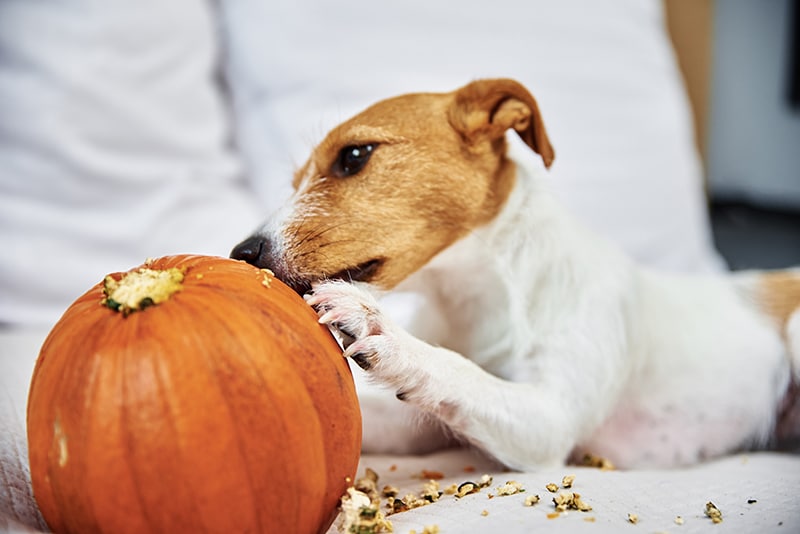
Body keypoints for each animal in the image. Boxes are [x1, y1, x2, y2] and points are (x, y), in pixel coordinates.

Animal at [231, 78, 800, 468]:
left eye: (354, 156)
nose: (241, 252)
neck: (478, 301)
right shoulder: (426, 428)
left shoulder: (549, 419)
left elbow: (459, 369)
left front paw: (386, 331)